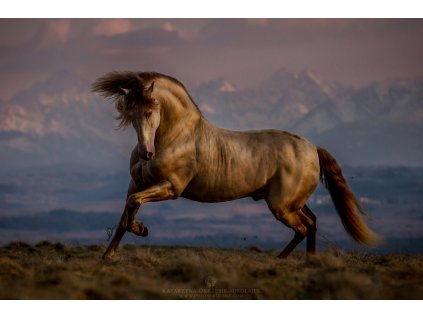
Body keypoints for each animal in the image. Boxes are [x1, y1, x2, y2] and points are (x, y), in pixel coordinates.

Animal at [91, 71, 380, 258]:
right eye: (130, 115)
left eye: (150, 112)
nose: (146, 153)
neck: (176, 137)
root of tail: (312, 150)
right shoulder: (137, 183)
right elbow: (126, 213)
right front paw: (108, 256)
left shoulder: (171, 188)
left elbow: (132, 207)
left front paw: (141, 229)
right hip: (292, 202)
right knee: (313, 222)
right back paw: (306, 262)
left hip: (282, 206)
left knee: (304, 227)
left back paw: (282, 261)